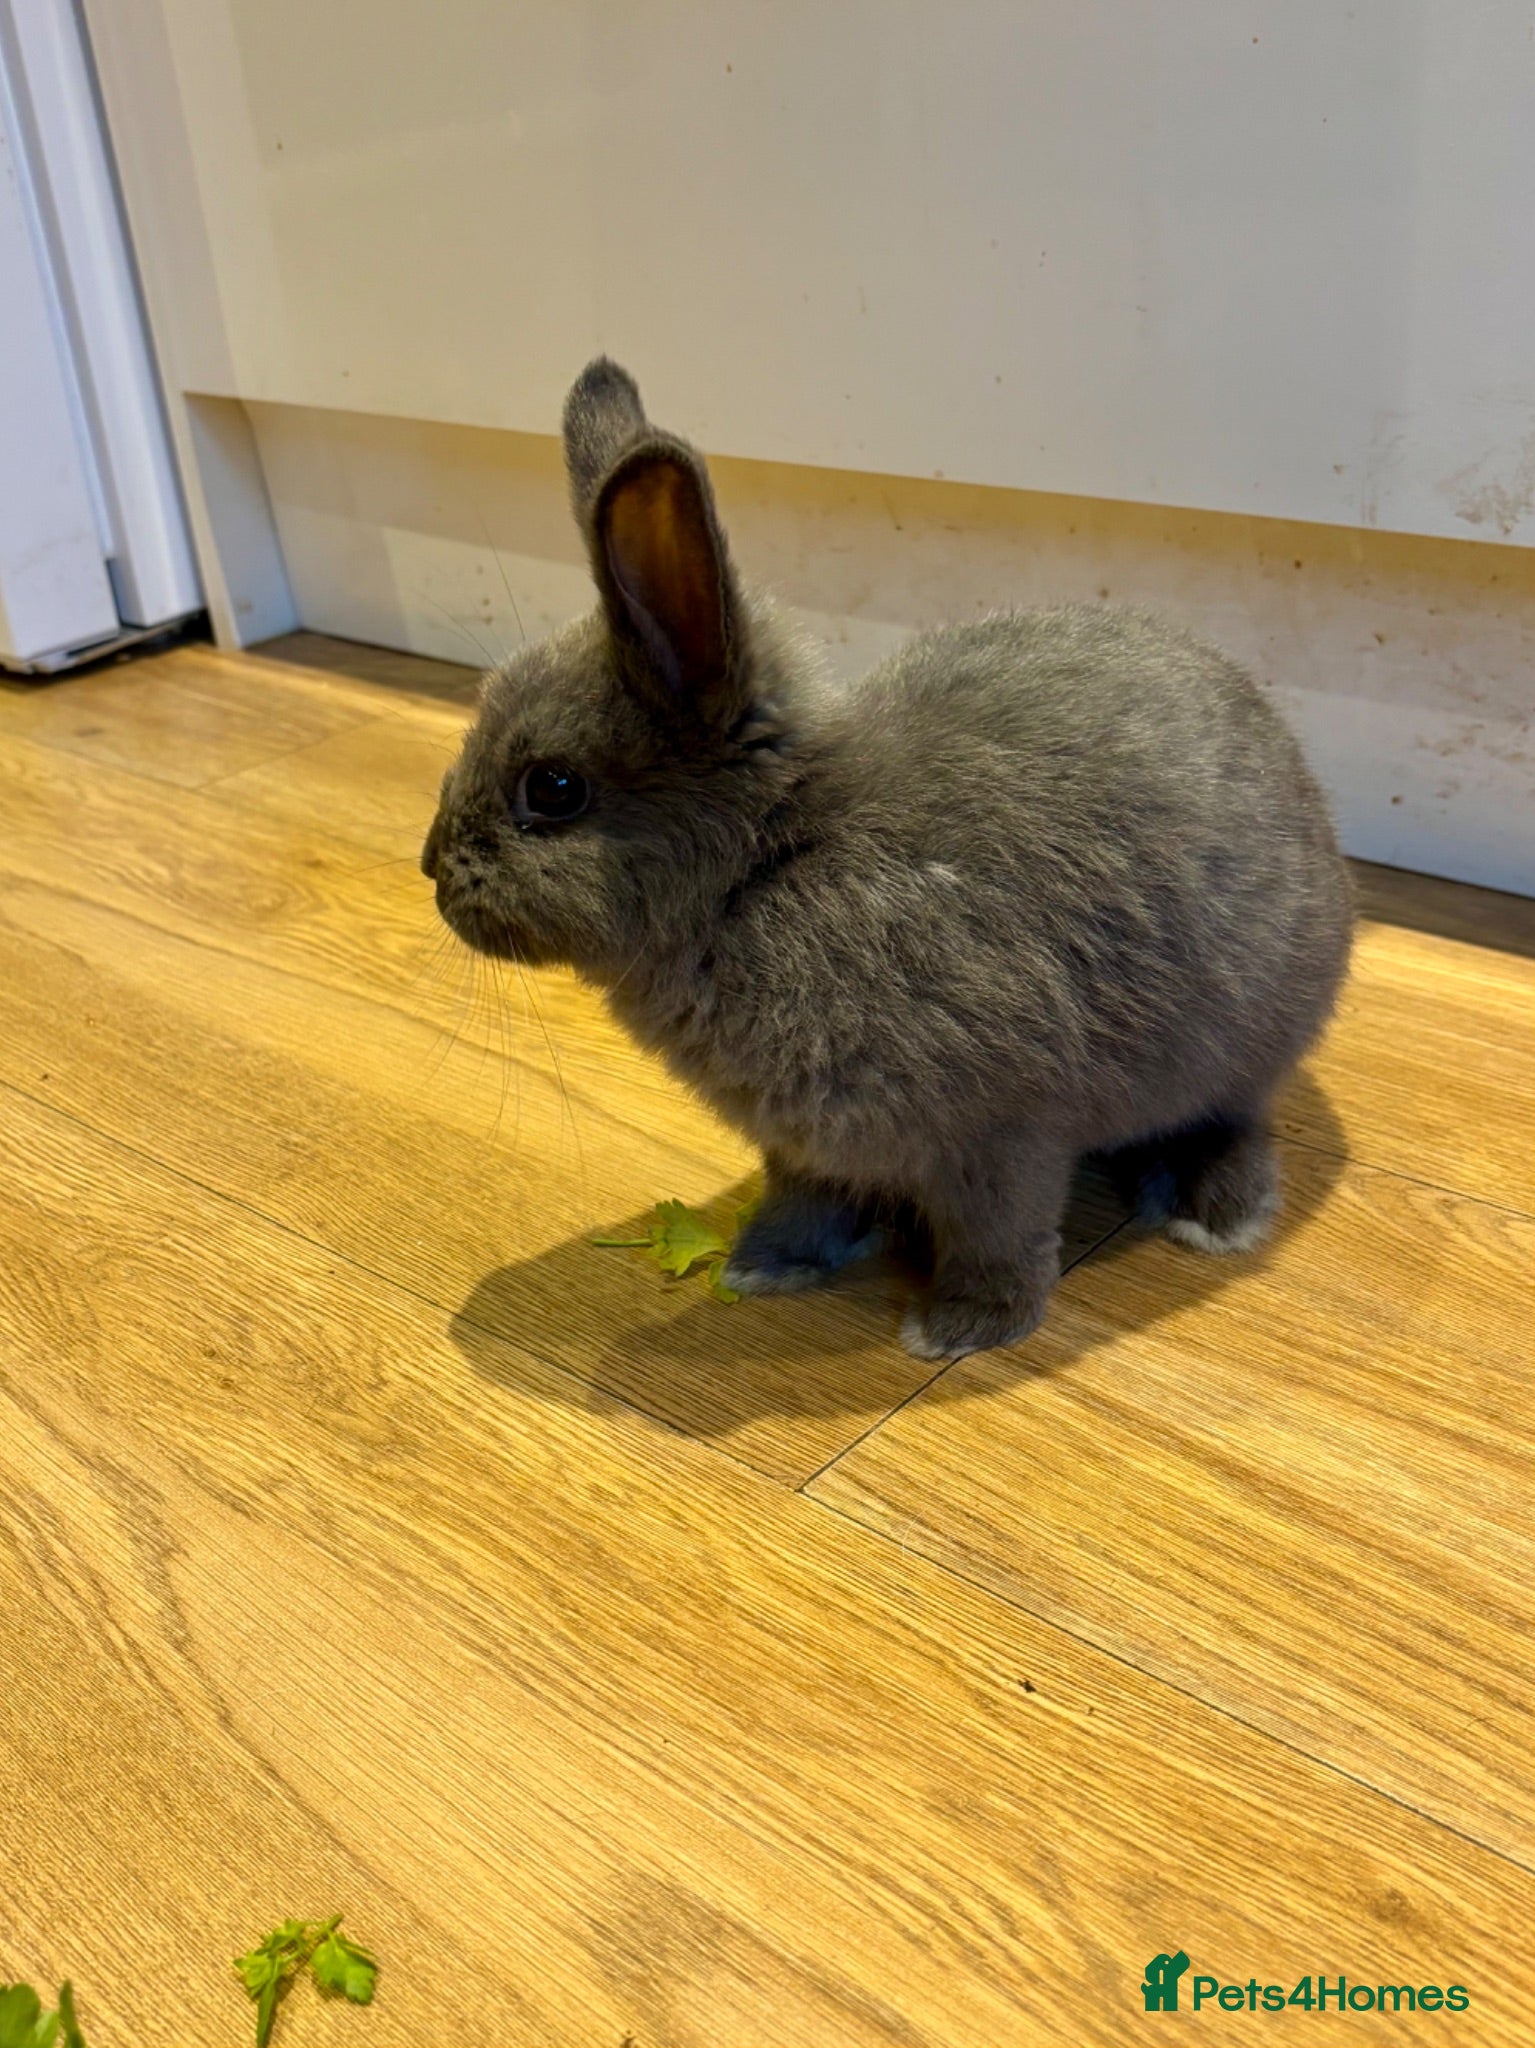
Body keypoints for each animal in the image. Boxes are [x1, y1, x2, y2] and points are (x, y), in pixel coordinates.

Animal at [422, 358, 1353, 1361]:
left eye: (554, 788)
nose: (431, 867)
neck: (766, 864)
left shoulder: (1001, 1136)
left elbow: (999, 1235)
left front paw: (961, 1330)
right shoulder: (805, 1147)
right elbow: (808, 1201)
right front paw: (766, 1266)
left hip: (1244, 1043)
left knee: (1236, 1121)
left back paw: (1213, 1213)